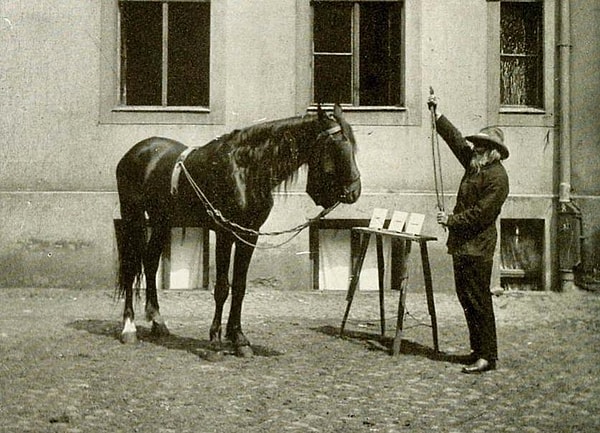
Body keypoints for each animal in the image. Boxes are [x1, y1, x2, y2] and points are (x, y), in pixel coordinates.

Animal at [116, 104, 360, 354]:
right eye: (336, 146)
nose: (354, 191)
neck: (246, 170)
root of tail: (136, 152)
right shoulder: (225, 233)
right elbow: (223, 287)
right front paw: (215, 340)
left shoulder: (248, 234)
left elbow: (240, 287)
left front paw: (239, 339)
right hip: (133, 217)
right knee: (131, 265)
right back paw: (129, 328)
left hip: (162, 221)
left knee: (150, 262)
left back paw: (158, 321)